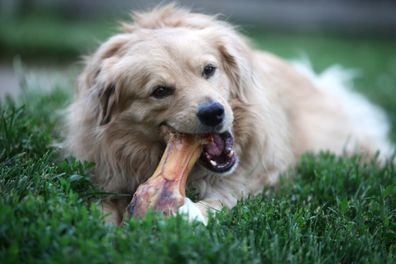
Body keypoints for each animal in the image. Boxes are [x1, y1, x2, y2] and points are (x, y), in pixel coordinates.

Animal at [63, 4, 392, 225]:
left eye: (209, 69)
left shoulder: (262, 182)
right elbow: (101, 207)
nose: (213, 113)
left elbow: (225, 200)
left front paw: (190, 212)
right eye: (160, 90)